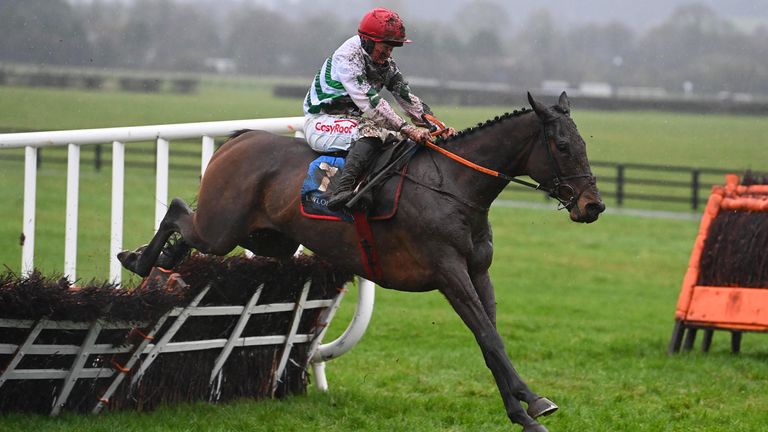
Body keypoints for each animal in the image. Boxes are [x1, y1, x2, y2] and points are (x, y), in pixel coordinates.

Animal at [117, 92, 604, 432]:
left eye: (584, 142)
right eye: (563, 145)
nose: (593, 206)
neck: (454, 186)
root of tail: (241, 139)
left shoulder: (478, 272)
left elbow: (490, 341)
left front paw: (521, 414)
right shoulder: (447, 271)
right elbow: (489, 337)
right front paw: (534, 400)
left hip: (268, 239)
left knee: (186, 235)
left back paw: (155, 261)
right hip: (222, 228)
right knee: (179, 209)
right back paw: (138, 259)